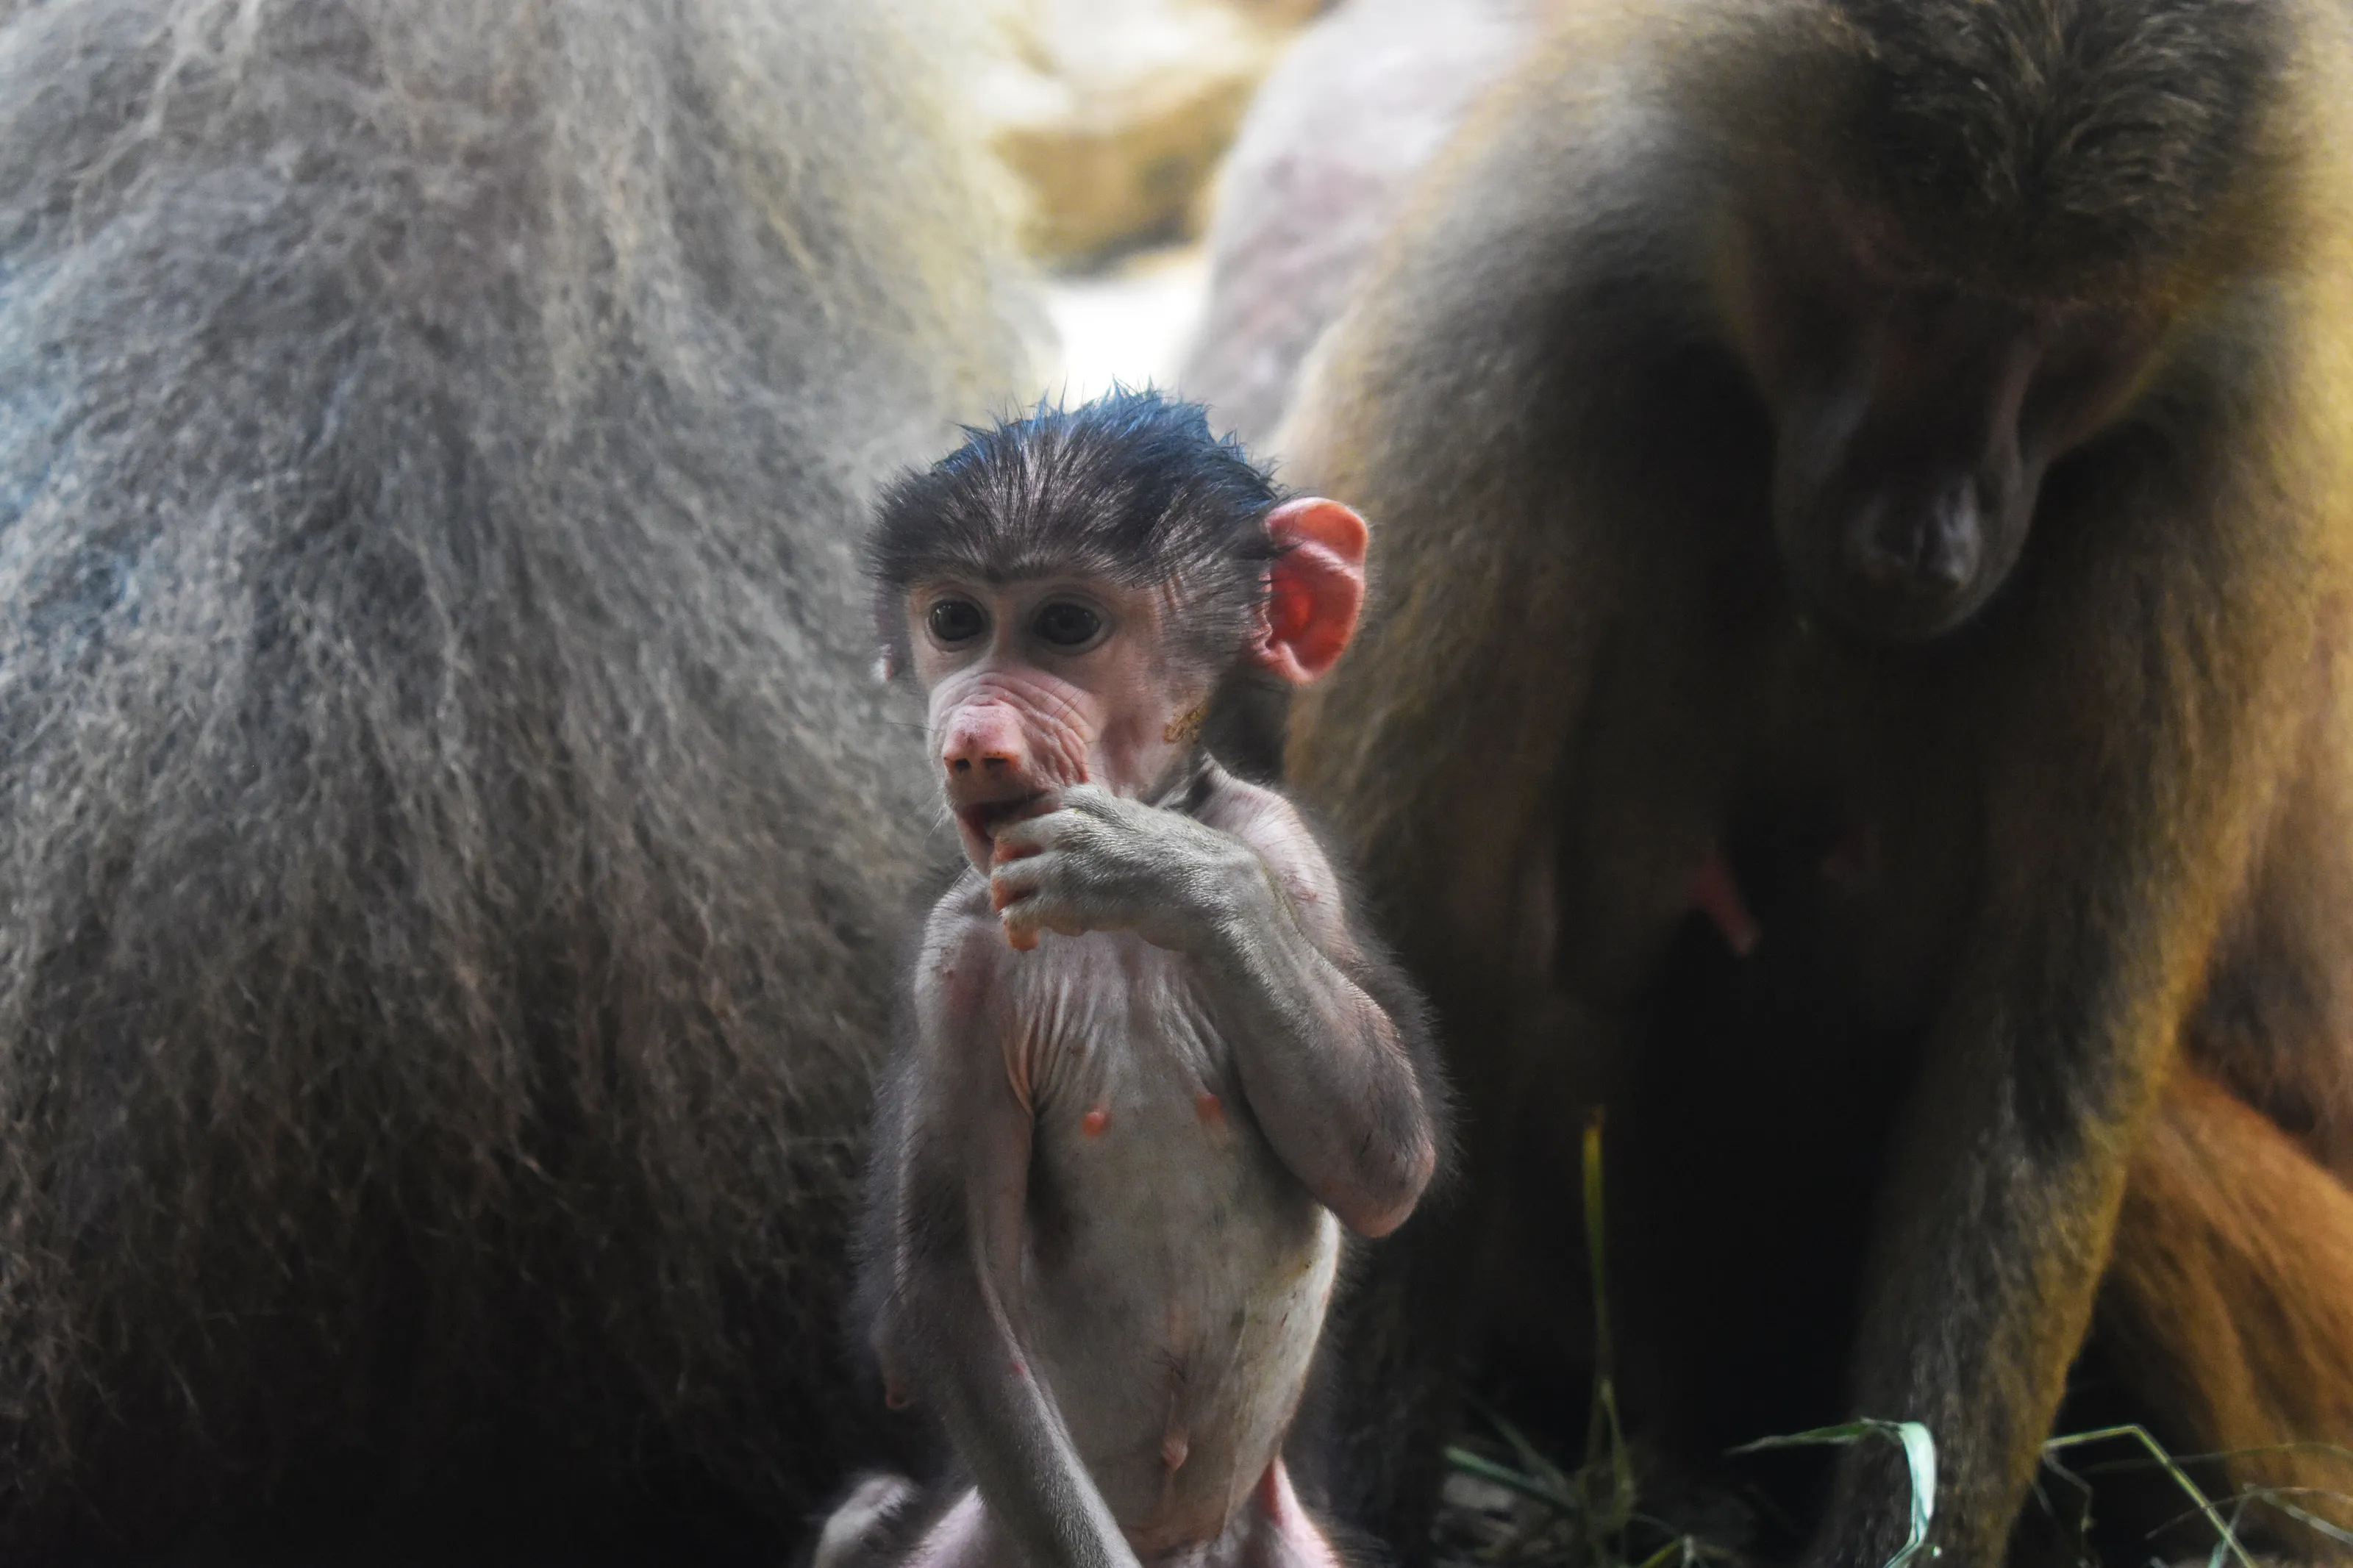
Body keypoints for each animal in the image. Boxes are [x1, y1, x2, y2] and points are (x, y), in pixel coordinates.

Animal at [824, 390, 1445, 1568]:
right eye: (955, 621)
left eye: (1066, 626)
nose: (972, 736)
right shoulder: (953, 958)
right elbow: (952, 1289)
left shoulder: (1284, 844)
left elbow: (1387, 1163)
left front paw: (1166, 871)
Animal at [1262, 0, 2353, 1562]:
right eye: (1899, 280)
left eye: (2073, 338)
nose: (1929, 536)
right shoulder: (1525, 321)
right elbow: (1422, 974)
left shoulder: (2211, 483)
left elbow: (2037, 1077)